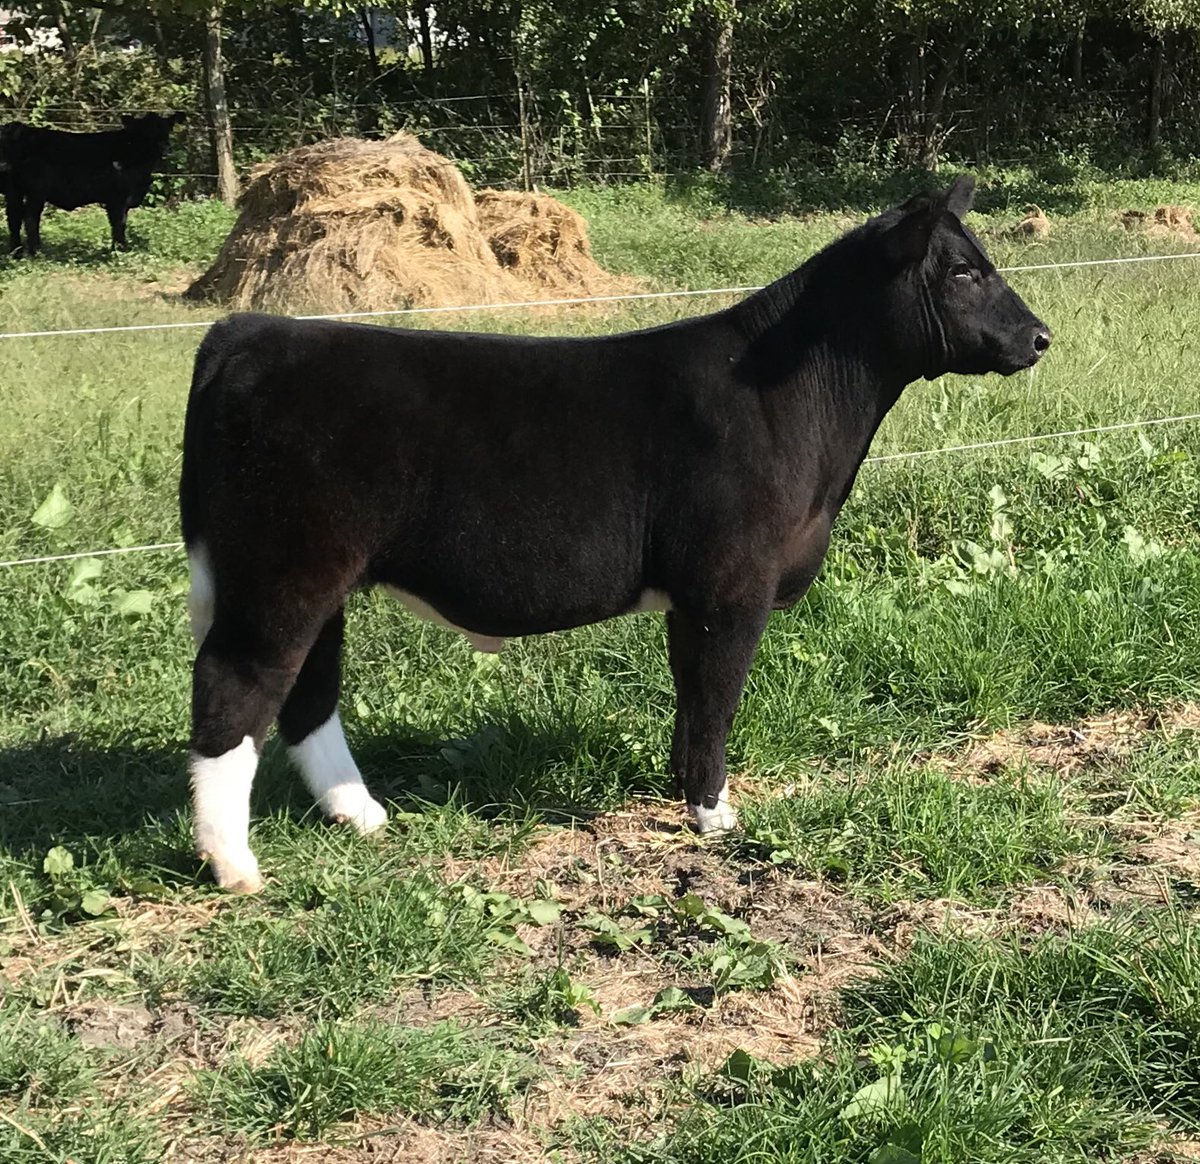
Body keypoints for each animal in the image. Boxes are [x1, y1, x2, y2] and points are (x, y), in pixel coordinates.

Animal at [0, 111, 185, 257]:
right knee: (30, 216)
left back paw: (16, 252)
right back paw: (36, 252)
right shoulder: (117, 199)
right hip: (36, 191)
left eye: (167, 128)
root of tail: (19, 130)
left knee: (14, 216)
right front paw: (120, 249)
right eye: (145, 132)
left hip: (14, 190)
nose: (165, 147)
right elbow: (118, 224)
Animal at [179, 176, 1050, 893]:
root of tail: (251, 329)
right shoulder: (730, 587)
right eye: (964, 271)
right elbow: (717, 696)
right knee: (235, 689)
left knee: (306, 696)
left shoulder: (693, 596)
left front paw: (683, 790)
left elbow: (690, 694)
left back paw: (359, 815)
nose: (1040, 336)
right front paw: (713, 814)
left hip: (313, 579)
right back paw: (234, 865)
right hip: (280, 572)